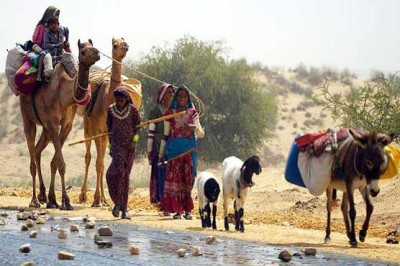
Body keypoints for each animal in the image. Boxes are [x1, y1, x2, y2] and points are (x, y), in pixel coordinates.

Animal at [20, 39, 101, 210]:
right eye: (83, 51)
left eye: (92, 46)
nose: (97, 53)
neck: (65, 95)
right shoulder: (52, 122)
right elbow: (61, 164)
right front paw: (66, 201)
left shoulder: (66, 125)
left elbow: (55, 163)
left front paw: (53, 200)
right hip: (27, 116)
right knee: (32, 157)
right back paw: (34, 200)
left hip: (45, 127)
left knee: (37, 150)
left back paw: (43, 195)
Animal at [78, 37, 128, 207]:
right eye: (115, 45)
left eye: (124, 41)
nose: (125, 46)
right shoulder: (98, 131)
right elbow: (96, 162)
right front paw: (95, 199)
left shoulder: (108, 132)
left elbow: (102, 163)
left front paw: (101, 199)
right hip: (88, 129)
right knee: (88, 157)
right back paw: (83, 196)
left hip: (103, 135)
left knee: (100, 161)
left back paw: (104, 199)